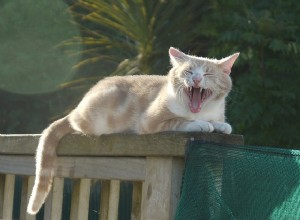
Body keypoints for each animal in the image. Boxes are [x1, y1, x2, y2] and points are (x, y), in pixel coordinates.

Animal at [27, 47, 239, 214]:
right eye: (188, 71)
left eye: (208, 74)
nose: (195, 79)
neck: (200, 110)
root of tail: (80, 104)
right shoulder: (150, 121)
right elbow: (180, 121)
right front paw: (201, 124)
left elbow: (222, 123)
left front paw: (220, 125)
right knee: (74, 121)